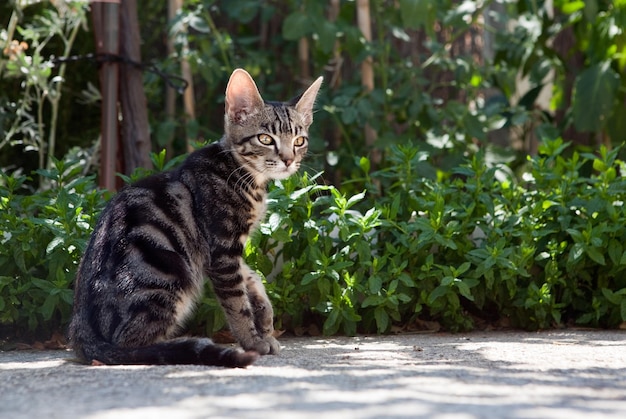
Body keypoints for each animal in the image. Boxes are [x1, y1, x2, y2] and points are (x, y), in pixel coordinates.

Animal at [68, 68, 322, 368]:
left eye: (299, 141)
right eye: (265, 139)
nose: (288, 159)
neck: (241, 173)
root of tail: (80, 331)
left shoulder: (228, 251)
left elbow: (251, 277)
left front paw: (265, 317)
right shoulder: (222, 250)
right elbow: (237, 303)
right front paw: (252, 341)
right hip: (167, 271)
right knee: (130, 344)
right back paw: (182, 348)